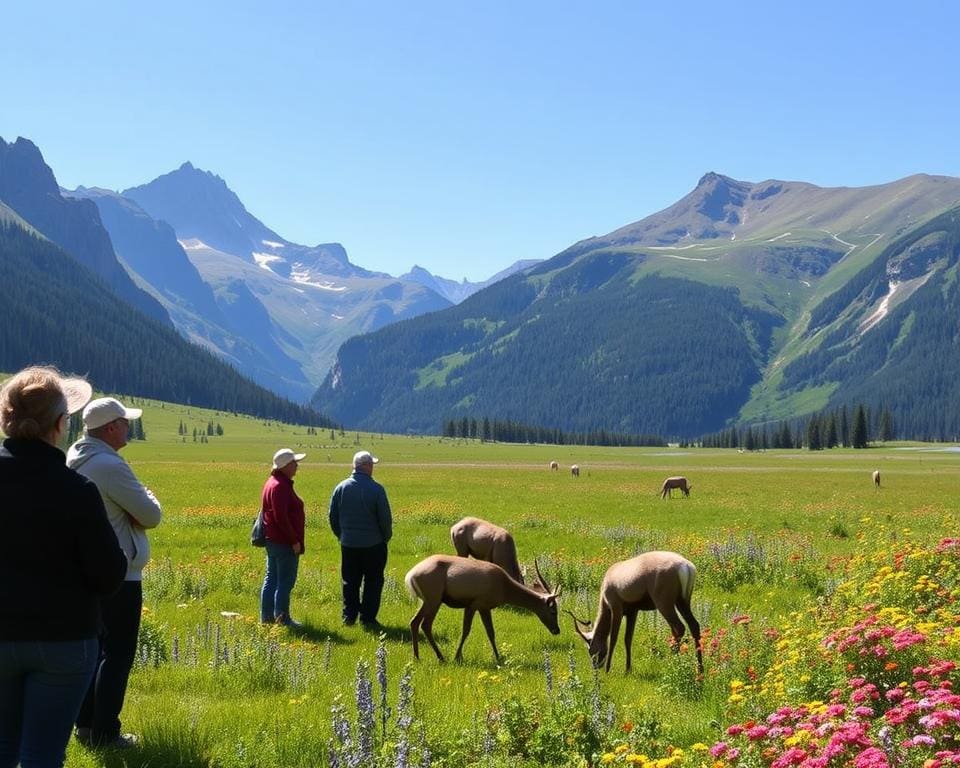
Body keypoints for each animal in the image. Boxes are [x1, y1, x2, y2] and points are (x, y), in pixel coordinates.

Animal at [404, 556, 564, 664]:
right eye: (553, 611)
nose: (557, 630)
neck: (504, 588)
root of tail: (410, 576)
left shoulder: (484, 607)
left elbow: (491, 633)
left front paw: (498, 657)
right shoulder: (475, 604)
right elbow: (466, 630)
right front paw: (457, 657)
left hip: (427, 601)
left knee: (415, 622)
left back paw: (417, 657)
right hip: (434, 599)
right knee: (425, 624)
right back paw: (439, 657)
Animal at [568, 552, 700, 672]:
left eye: (591, 651)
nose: (596, 667)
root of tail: (685, 566)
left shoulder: (616, 609)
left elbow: (613, 638)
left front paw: (608, 669)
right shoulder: (633, 612)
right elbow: (628, 639)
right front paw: (627, 669)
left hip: (664, 604)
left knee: (679, 627)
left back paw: (673, 663)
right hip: (682, 602)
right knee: (694, 625)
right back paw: (699, 670)